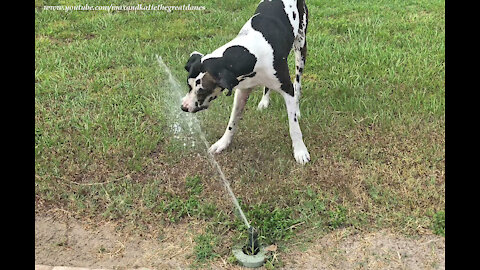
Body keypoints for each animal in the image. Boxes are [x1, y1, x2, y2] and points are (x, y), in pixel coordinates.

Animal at [181, 0, 312, 165]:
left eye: (202, 90)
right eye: (188, 85)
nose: (184, 107)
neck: (250, 52)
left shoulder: (287, 89)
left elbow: (294, 127)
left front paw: (300, 151)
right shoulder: (242, 90)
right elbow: (232, 121)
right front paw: (223, 143)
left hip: (300, 50)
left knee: (298, 83)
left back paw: (297, 106)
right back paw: (264, 101)